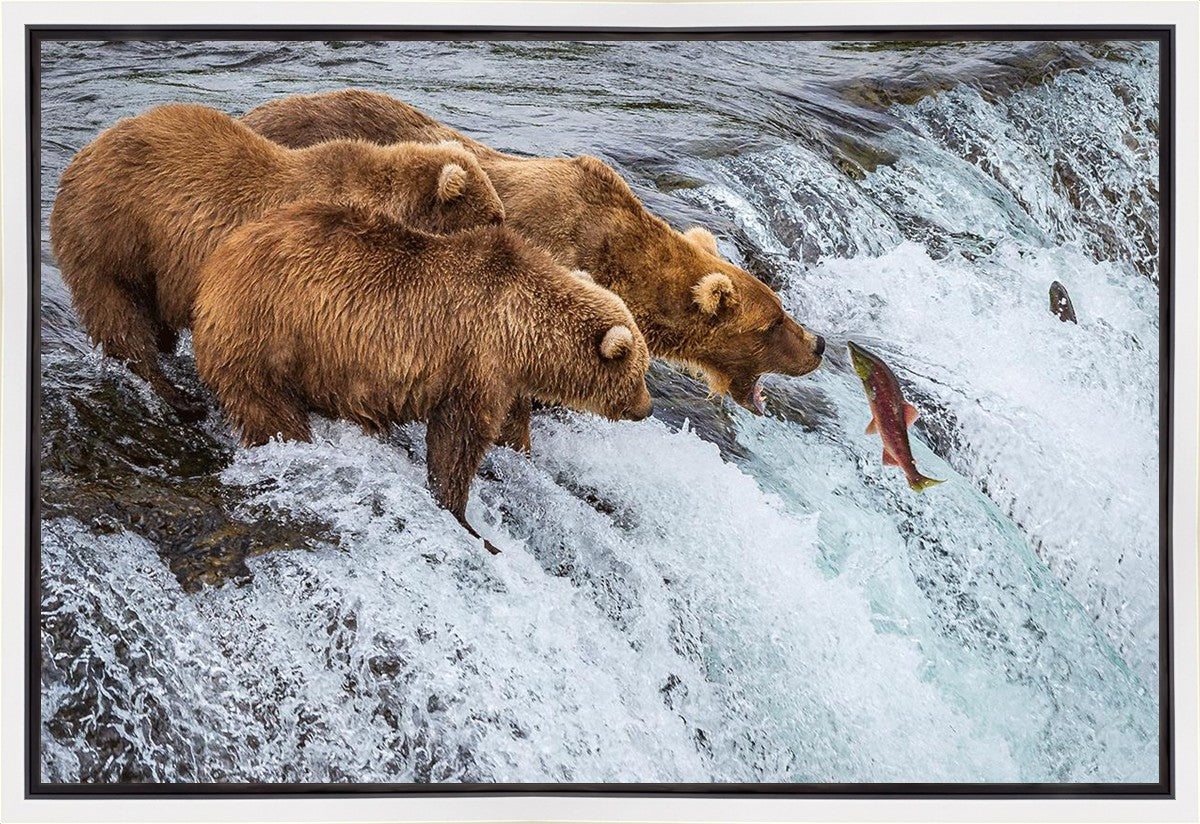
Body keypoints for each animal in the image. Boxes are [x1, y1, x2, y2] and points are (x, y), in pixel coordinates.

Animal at [49, 102, 505, 421]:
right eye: (494, 216)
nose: (506, 231)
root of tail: (81, 155)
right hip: (112, 234)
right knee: (120, 316)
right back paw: (178, 396)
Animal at [192, 199, 653, 554]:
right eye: (640, 372)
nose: (647, 408)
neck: (523, 331)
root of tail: (217, 263)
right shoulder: (475, 360)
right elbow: (457, 441)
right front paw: (467, 521)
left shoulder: (505, 378)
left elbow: (509, 426)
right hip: (267, 335)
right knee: (269, 409)